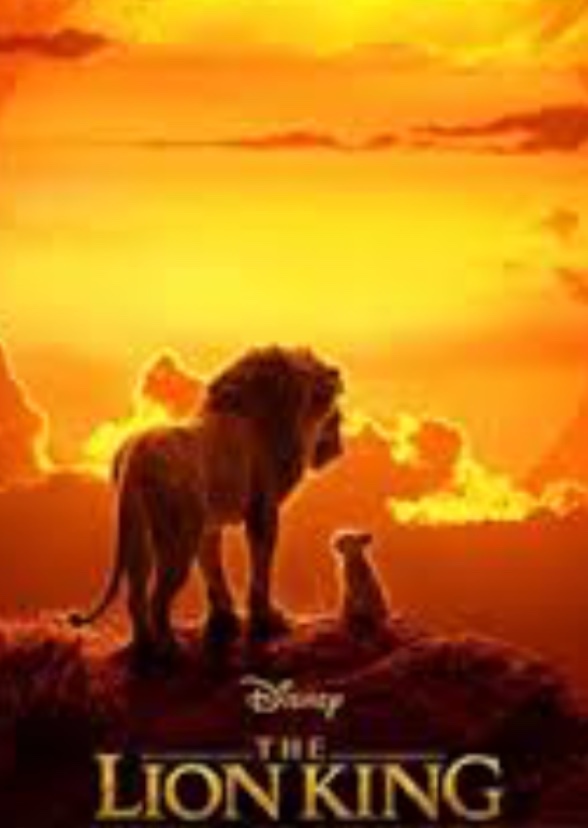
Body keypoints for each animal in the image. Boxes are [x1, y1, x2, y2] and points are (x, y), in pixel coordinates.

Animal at [70, 346, 344, 655]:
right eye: (337, 418)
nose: (340, 448)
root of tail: (135, 457)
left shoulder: (209, 524)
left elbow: (212, 567)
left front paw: (224, 621)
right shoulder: (263, 509)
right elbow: (260, 565)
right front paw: (267, 620)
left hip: (137, 531)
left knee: (136, 593)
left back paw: (144, 649)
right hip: (178, 537)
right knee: (157, 598)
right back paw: (169, 648)